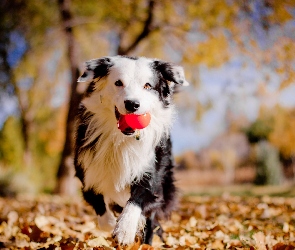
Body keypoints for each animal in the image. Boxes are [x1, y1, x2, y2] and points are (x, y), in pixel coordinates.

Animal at [74, 55, 190, 245]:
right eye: (118, 83)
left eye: (147, 85)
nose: (132, 104)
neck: (123, 139)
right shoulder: (87, 172)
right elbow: (99, 207)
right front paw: (111, 223)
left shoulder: (151, 173)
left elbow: (137, 200)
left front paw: (125, 230)